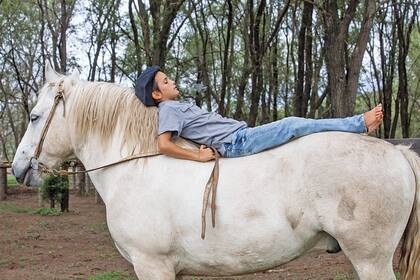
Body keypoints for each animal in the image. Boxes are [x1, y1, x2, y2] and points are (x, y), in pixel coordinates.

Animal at [11, 66, 418, 280]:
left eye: (34, 116)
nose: (18, 168)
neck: (137, 166)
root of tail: (397, 152)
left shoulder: (152, 266)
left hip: (371, 260)